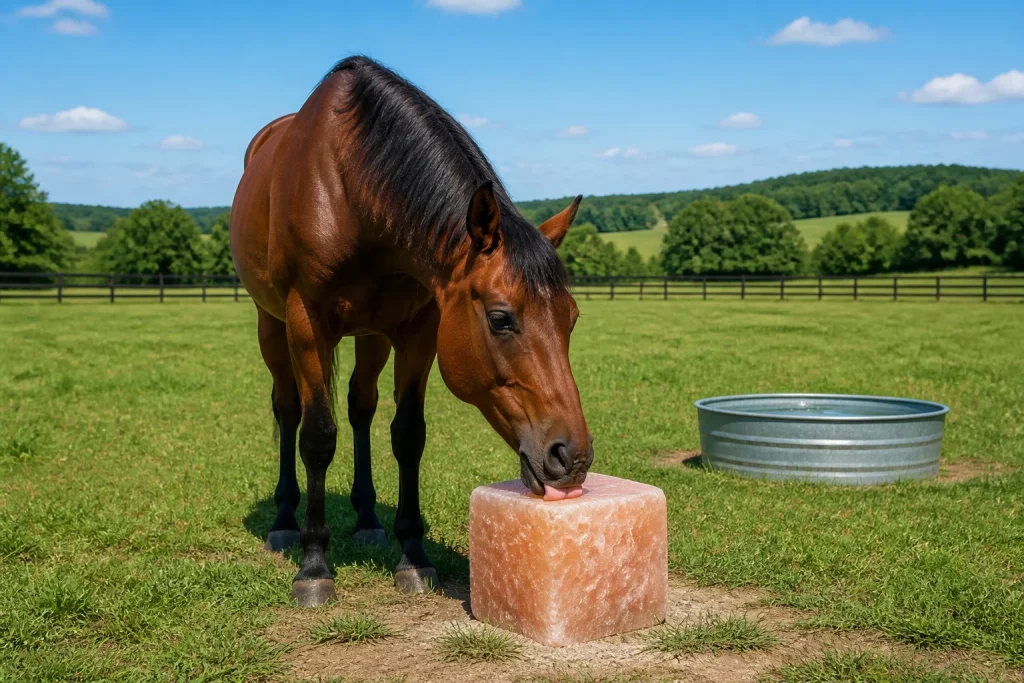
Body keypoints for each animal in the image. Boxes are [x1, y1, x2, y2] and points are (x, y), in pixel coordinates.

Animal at [229, 56, 594, 607]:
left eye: (570, 318)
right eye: (500, 319)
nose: (571, 457)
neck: (350, 187)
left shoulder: (419, 331)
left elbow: (408, 435)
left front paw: (413, 556)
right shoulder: (306, 324)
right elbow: (317, 437)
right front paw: (314, 566)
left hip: (371, 335)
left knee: (361, 408)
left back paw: (365, 518)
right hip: (271, 325)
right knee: (289, 411)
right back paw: (286, 520)